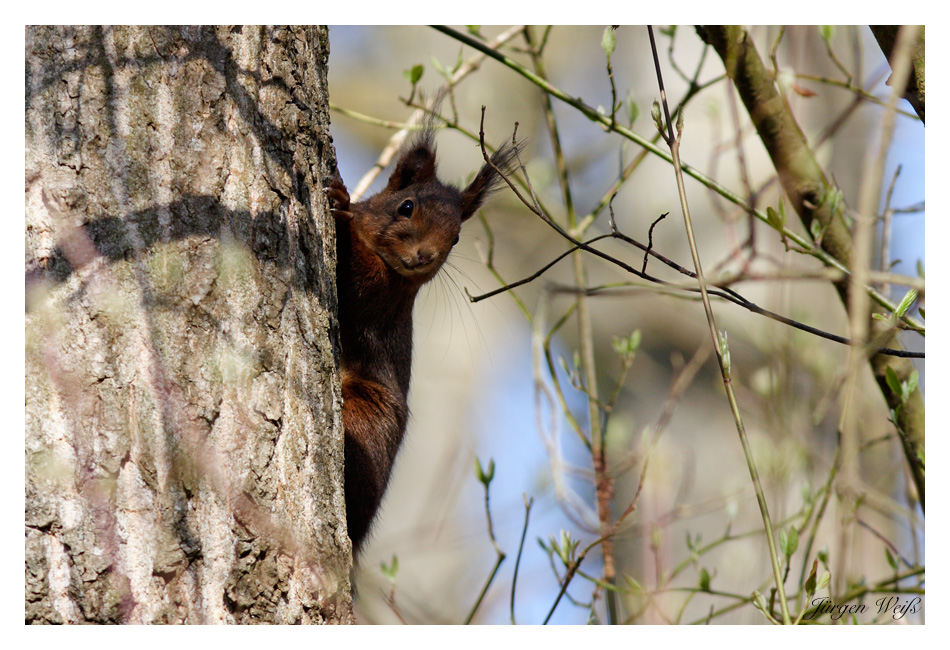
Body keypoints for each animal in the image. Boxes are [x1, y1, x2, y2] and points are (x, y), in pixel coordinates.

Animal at [328, 125, 520, 552]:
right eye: (406, 207)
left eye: (457, 237)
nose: (424, 256)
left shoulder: (382, 297)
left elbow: (353, 284)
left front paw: (340, 204)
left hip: (370, 419)